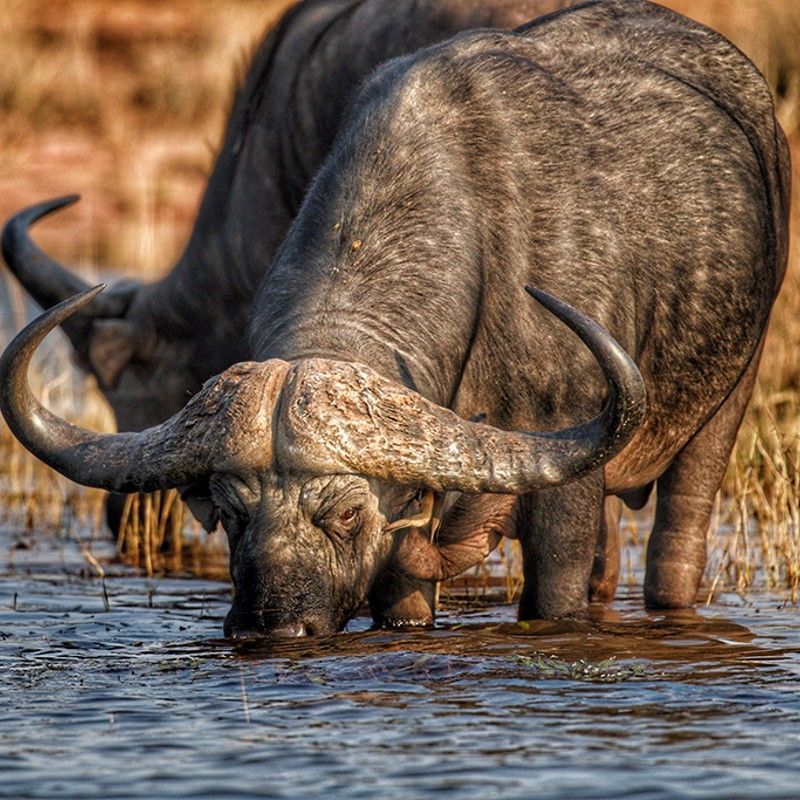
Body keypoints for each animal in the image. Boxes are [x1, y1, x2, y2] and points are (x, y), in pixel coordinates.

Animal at [0, 0, 790, 637]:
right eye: (231, 512)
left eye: (347, 513)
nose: (267, 627)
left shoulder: (566, 486)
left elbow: (558, 594)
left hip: (727, 401)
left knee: (677, 543)